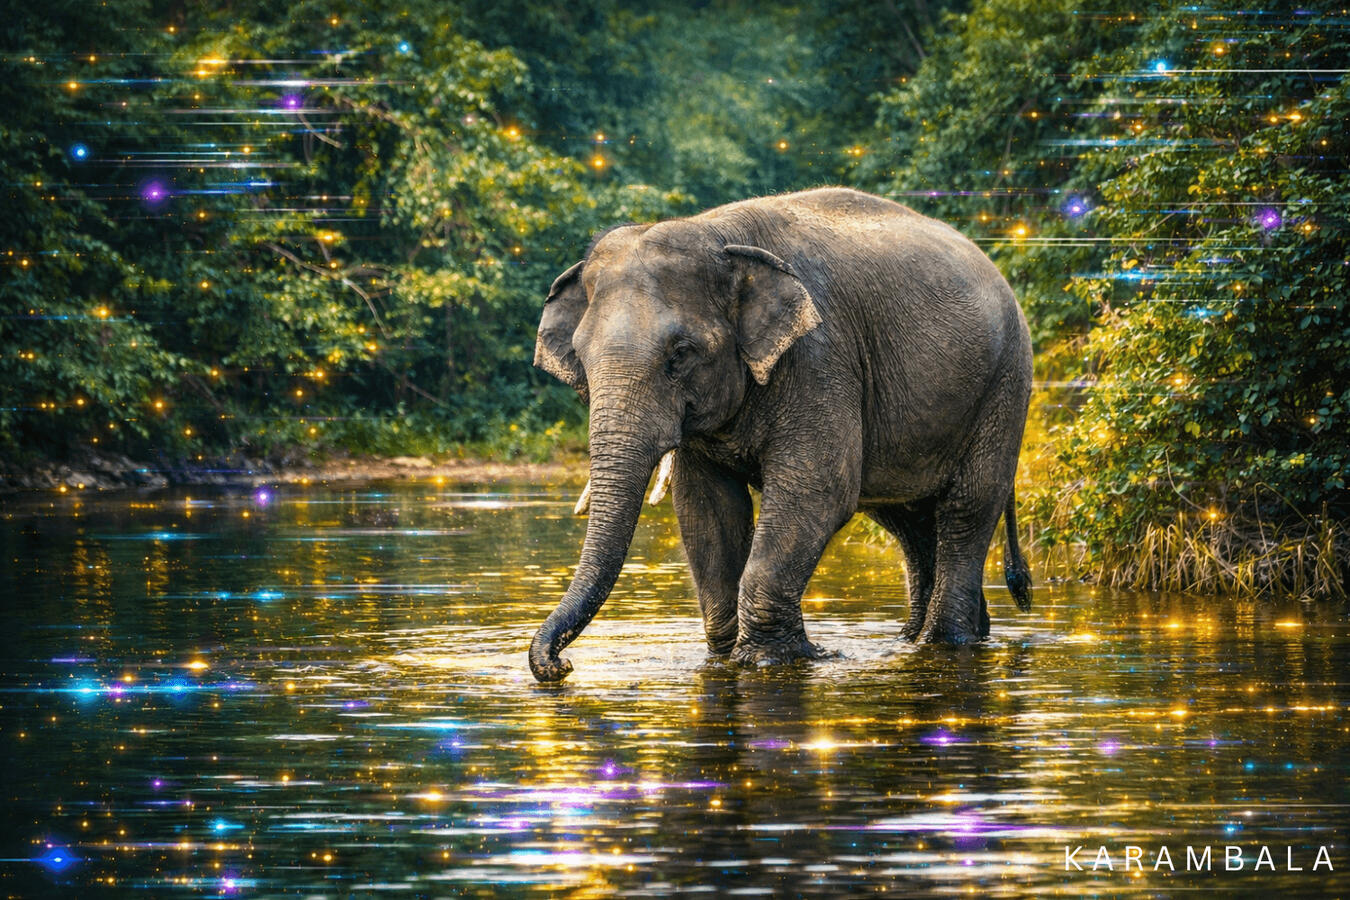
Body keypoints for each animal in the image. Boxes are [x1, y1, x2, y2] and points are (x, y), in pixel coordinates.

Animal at [529, 187, 1032, 683]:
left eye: (681, 354)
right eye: (579, 355)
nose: (560, 665)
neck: (716, 235)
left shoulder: (820, 357)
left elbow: (818, 490)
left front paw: (776, 660)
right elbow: (706, 508)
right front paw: (726, 656)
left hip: (1005, 385)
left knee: (967, 507)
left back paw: (944, 641)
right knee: (909, 521)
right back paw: (922, 638)